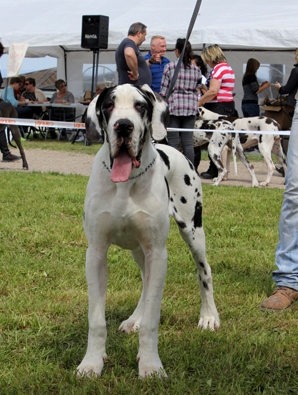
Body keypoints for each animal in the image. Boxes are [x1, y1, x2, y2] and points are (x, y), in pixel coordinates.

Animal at [77, 85, 220, 378]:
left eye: (140, 106)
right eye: (109, 106)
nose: (123, 126)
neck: (125, 184)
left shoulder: (158, 254)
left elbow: (152, 320)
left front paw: (151, 365)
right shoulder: (95, 254)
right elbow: (96, 320)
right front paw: (92, 363)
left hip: (193, 230)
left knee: (204, 272)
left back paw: (209, 316)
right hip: (138, 249)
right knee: (145, 281)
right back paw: (134, 319)